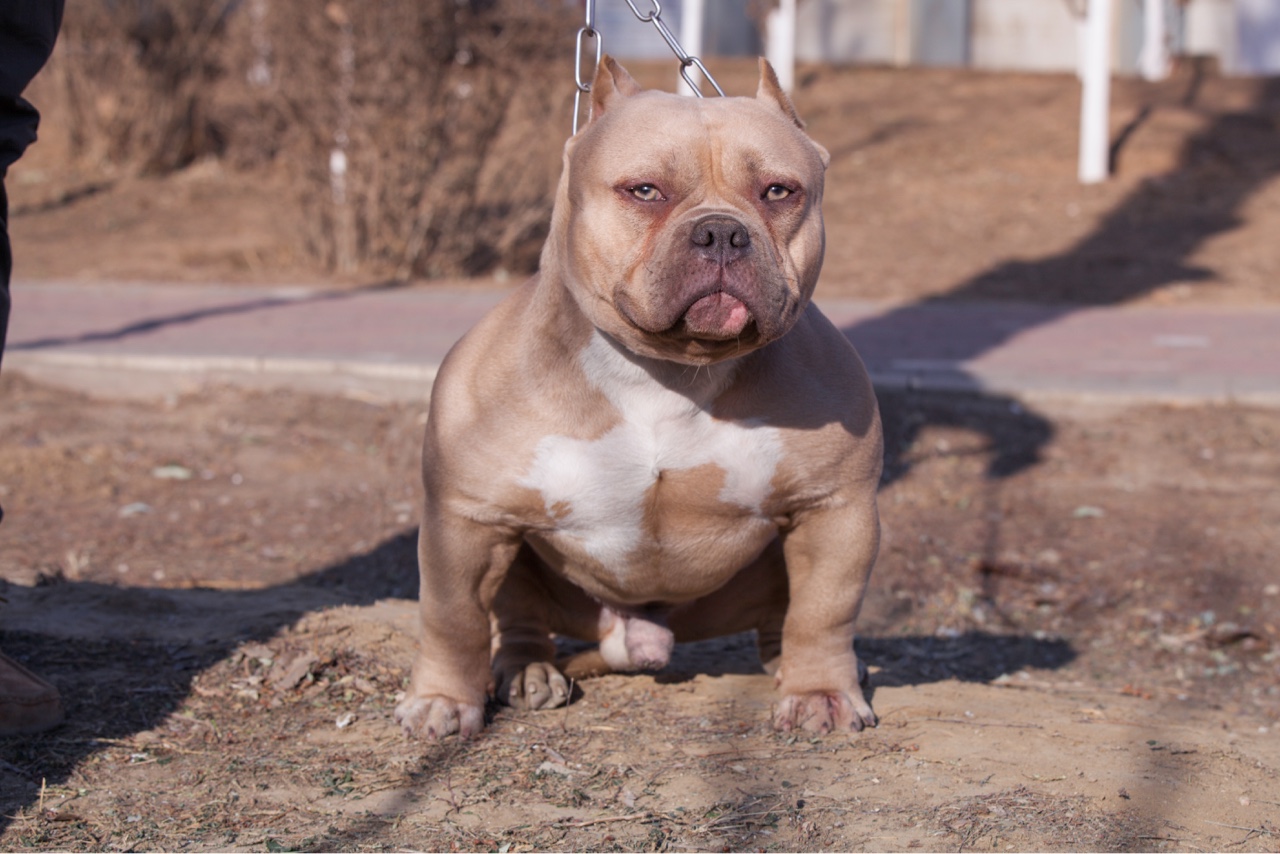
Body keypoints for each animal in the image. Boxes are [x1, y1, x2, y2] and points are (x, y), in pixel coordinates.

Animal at [394, 58, 885, 742]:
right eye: (645, 191)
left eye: (778, 192)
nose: (722, 233)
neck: (668, 373)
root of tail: (642, 635)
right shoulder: (466, 519)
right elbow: (452, 614)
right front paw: (441, 698)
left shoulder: (836, 508)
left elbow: (825, 610)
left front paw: (822, 692)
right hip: (521, 560)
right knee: (517, 618)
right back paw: (527, 671)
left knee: (783, 617)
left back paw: (797, 667)